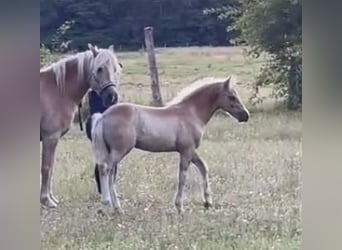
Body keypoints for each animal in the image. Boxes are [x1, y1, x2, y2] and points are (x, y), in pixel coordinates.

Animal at [40, 44, 123, 208]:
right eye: (99, 69)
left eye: (115, 68)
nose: (112, 96)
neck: (57, 90)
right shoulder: (50, 137)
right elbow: (46, 167)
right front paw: (46, 200)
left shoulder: (53, 139)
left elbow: (51, 168)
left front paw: (52, 198)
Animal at [91, 75, 250, 213]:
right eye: (232, 96)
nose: (246, 115)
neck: (191, 113)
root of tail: (103, 116)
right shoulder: (186, 150)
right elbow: (183, 177)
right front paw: (179, 207)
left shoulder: (190, 150)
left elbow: (203, 167)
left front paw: (208, 202)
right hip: (120, 150)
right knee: (106, 170)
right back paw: (110, 205)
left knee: (107, 172)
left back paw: (114, 207)